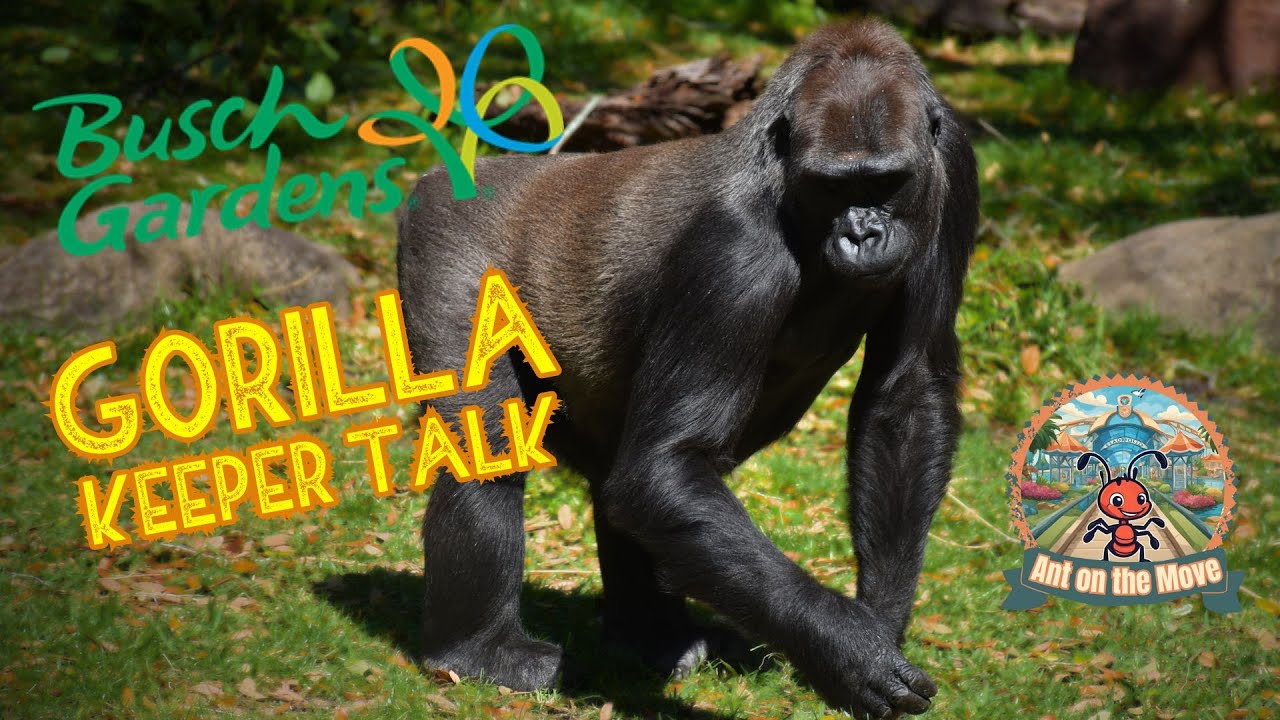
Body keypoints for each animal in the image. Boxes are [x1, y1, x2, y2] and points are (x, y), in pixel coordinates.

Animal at [396, 19, 977, 718]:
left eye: (886, 183)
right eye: (835, 186)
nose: (862, 234)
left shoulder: (952, 167)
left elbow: (905, 399)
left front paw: (880, 624)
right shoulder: (735, 248)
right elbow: (663, 470)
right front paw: (847, 649)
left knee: (621, 479)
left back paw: (651, 636)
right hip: (445, 235)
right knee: (487, 446)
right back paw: (477, 651)